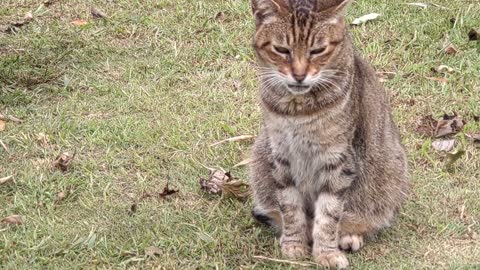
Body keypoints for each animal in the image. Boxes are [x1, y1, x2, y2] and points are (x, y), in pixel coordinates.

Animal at [249, 0, 410, 268]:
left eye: (317, 50)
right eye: (282, 50)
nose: (299, 75)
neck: (297, 109)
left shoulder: (337, 159)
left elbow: (328, 214)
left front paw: (326, 253)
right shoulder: (280, 154)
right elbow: (290, 206)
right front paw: (294, 243)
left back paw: (349, 236)